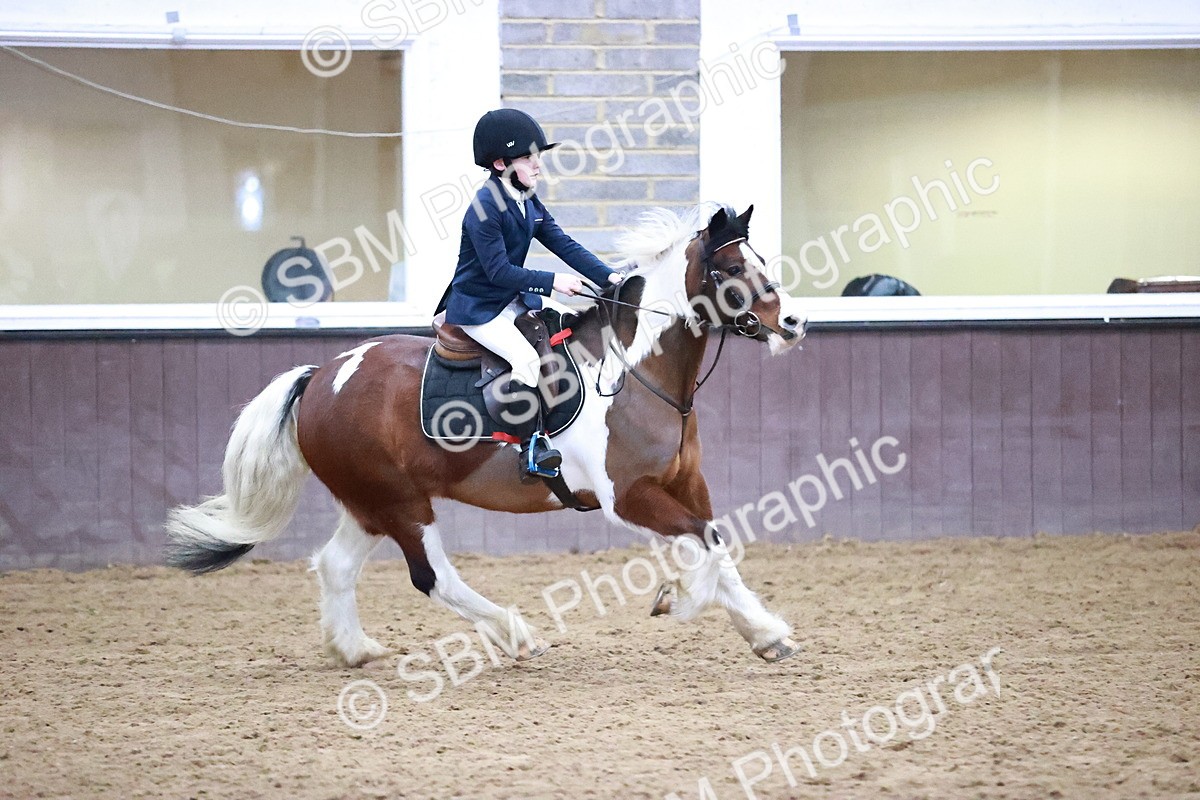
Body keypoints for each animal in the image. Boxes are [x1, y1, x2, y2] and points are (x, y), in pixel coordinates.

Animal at [165, 202, 809, 666]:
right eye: (731, 269)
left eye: (761, 261)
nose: (794, 323)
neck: (634, 371)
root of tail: (321, 376)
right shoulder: (628, 496)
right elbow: (703, 545)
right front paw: (686, 598)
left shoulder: (685, 483)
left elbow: (717, 545)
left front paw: (764, 632)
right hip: (401, 503)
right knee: (433, 578)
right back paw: (515, 633)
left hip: (369, 502)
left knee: (336, 566)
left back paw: (356, 650)